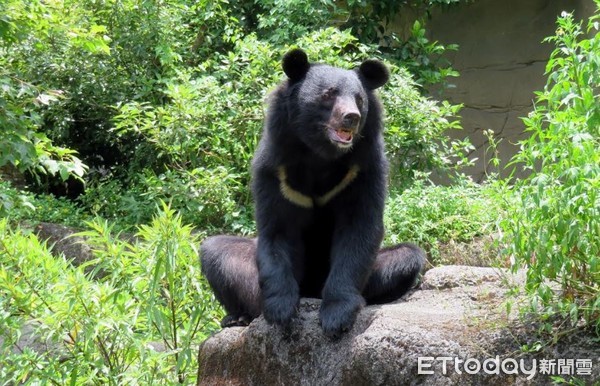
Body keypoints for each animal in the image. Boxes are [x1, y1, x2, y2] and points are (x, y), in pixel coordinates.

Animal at [203, 47, 426, 338]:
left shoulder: (361, 170)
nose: (351, 117)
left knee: (406, 256)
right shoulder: (276, 170)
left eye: (359, 99)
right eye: (328, 94)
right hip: (248, 273)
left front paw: (336, 317)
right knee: (216, 252)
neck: (320, 153)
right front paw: (281, 312)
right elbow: (277, 229)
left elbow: (359, 228)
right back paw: (237, 316)